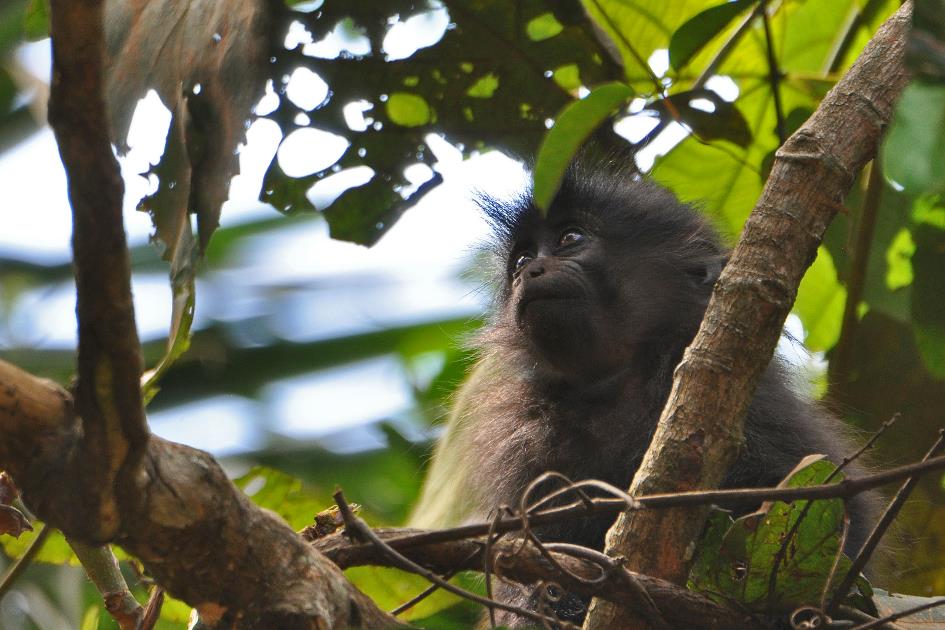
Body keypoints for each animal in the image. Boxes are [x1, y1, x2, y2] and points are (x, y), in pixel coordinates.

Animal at [410, 144, 872, 628]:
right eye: (519, 260)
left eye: (570, 238)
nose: (529, 271)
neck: (613, 387)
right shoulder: (525, 434)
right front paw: (555, 598)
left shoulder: (752, 401)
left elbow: (834, 510)